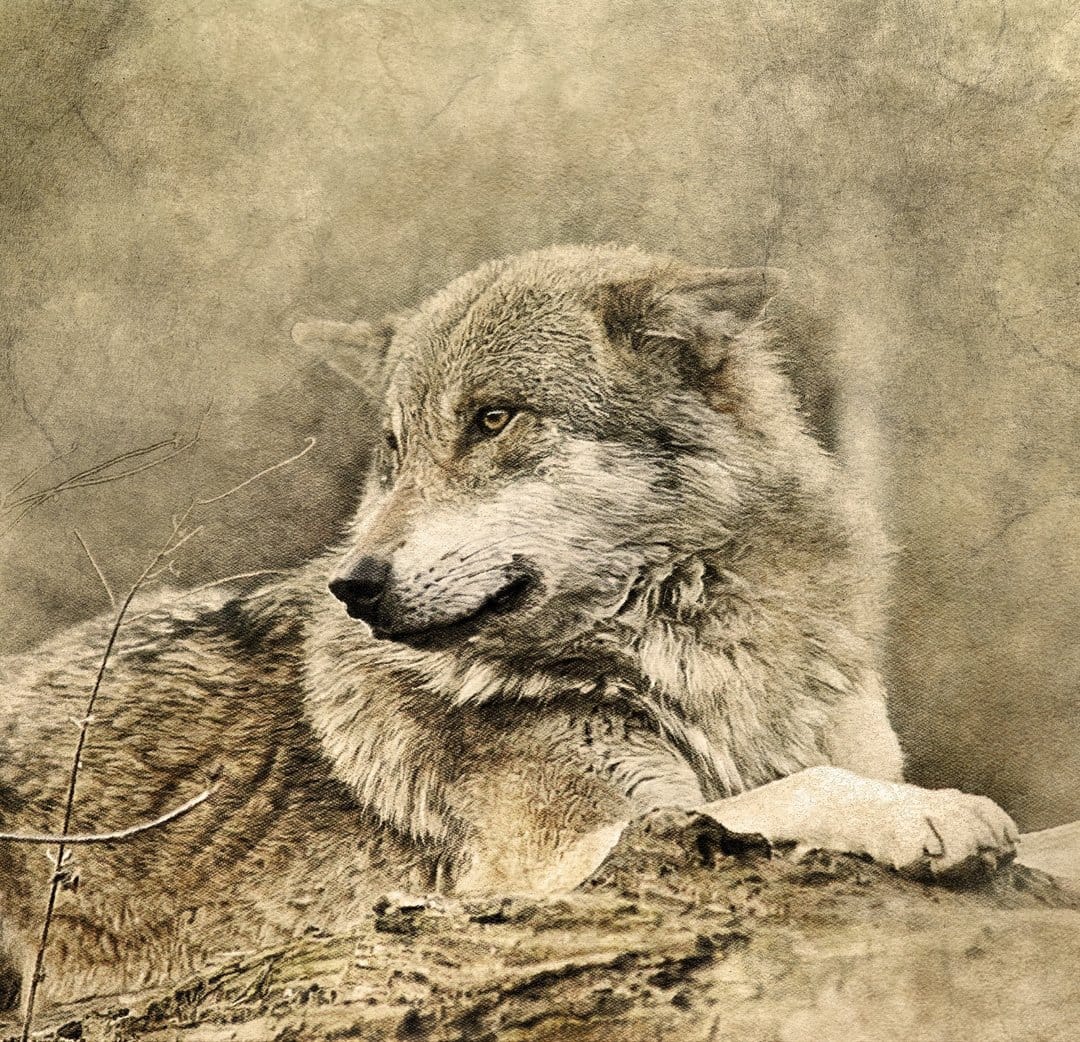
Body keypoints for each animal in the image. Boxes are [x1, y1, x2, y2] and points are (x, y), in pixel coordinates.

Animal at [0, 244, 1018, 1006]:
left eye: (493, 419)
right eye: (395, 449)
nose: (353, 585)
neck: (699, 651)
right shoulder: (555, 860)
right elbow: (803, 787)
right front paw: (932, 812)